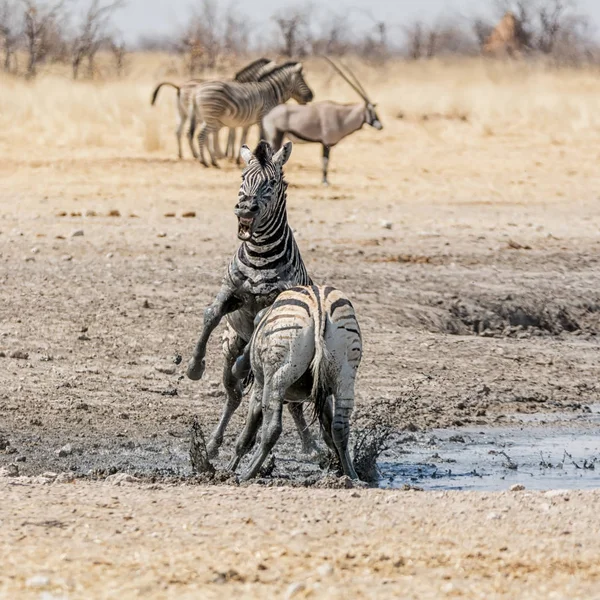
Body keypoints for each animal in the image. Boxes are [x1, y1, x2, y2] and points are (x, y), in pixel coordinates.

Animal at [188, 139, 316, 460]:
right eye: (243, 178)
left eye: (271, 183)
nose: (245, 209)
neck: (259, 254)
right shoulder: (232, 292)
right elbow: (211, 314)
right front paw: (194, 366)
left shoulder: (271, 302)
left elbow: (259, 323)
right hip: (230, 344)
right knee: (233, 395)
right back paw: (212, 444)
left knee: (291, 405)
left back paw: (311, 447)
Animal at [229, 284, 360, 480]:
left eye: (255, 324)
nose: (237, 368)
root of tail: (319, 305)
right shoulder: (324, 397)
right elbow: (328, 431)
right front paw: (338, 466)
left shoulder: (260, 390)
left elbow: (246, 437)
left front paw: (228, 469)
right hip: (345, 377)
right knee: (340, 428)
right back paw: (353, 476)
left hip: (277, 379)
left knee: (272, 429)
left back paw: (248, 474)